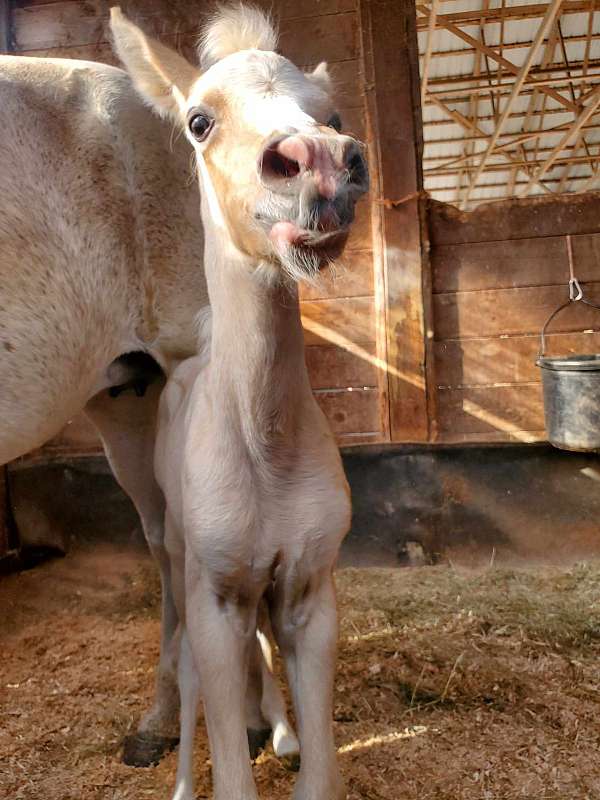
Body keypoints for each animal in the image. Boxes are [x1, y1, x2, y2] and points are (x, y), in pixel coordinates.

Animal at [110, 6, 368, 800]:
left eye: (333, 117)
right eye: (199, 120)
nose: (320, 162)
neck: (266, 444)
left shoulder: (311, 594)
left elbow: (320, 775)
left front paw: (284, 734)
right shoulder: (215, 599)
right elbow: (227, 766)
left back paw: (271, 726)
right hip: (176, 546)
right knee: (182, 642)